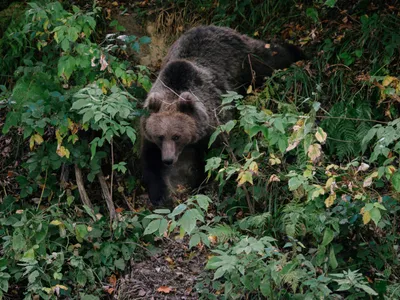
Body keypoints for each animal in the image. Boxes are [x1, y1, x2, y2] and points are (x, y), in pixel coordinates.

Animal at [140, 25, 304, 206]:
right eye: (160, 136)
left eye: (177, 136)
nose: (168, 159)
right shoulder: (150, 137)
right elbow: (151, 165)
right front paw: (160, 196)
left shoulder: (212, 128)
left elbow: (214, 158)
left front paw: (203, 187)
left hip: (244, 59)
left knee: (267, 58)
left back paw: (297, 52)